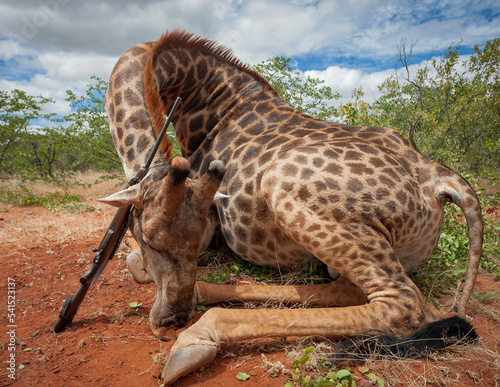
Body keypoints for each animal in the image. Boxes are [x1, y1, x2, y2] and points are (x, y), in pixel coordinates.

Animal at [98, 30, 484, 384]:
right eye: (150, 239)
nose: (170, 321)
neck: (209, 108)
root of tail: (438, 178)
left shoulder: (214, 226)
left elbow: (133, 262)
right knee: (352, 292)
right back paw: (201, 297)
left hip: (282, 184)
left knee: (402, 306)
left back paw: (196, 337)